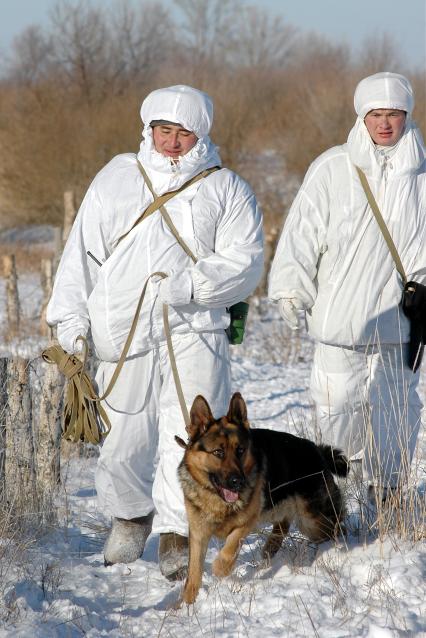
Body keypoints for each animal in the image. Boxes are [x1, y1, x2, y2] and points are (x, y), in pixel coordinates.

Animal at [175, 392, 348, 608]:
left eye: (240, 450)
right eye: (218, 453)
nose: (238, 482)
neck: (217, 499)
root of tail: (316, 450)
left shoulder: (248, 521)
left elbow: (230, 547)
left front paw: (221, 568)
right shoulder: (198, 534)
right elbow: (193, 574)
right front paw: (187, 606)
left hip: (310, 520)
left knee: (336, 526)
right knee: (284, 524)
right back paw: (270, 548)